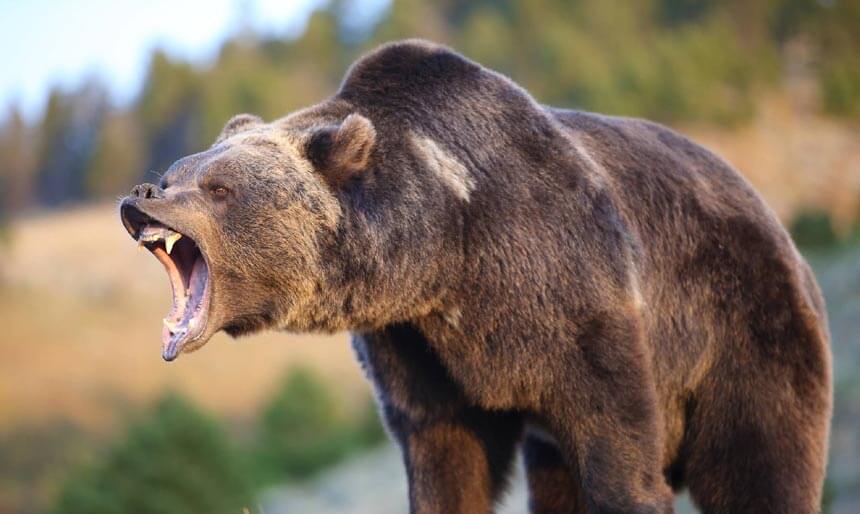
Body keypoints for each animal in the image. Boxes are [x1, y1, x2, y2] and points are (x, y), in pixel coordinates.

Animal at [120, 40, 832, 514]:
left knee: (761, 463)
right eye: (176, 172)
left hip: (744, 330)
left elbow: (618, 449)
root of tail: (776, 223)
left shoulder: (577, 298)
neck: (446, 253)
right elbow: (446, 460)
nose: (142, 196)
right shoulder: (418, 351)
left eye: (217, 187)